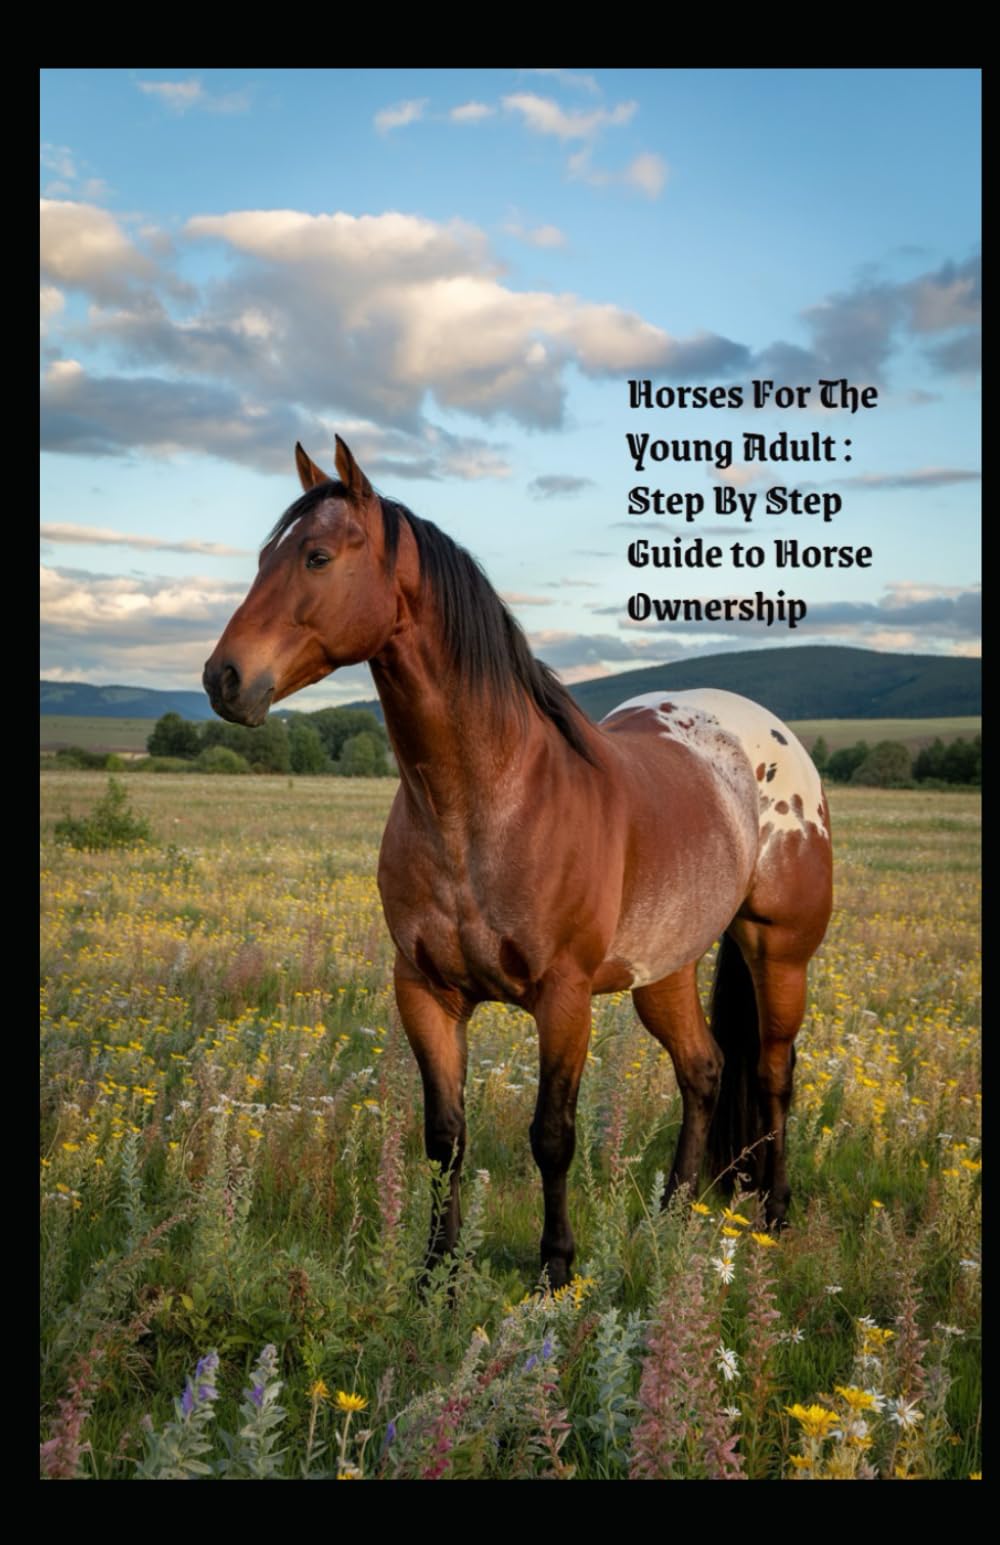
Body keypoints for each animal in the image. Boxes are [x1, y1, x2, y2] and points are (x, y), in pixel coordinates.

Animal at [204, 438, 833, 1289]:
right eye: (264, 557)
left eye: (317, 556)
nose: (224, 678)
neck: (483, 801)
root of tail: (771, 738)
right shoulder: (424, 991)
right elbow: (445, 1134)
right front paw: (435, 1272)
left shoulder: (563, 998)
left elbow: (552, 1133)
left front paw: (555, 1268)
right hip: (664, 968)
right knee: (703, 1068)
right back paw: (670, 1214)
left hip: (778, 953)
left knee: (771, 1073)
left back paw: (774, 1211)